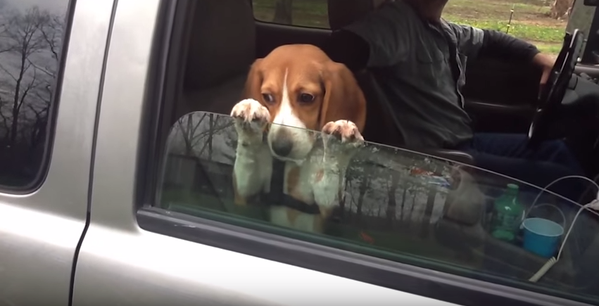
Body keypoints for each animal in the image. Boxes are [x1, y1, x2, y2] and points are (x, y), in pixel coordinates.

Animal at [232, 44, 368, 233]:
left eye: (306, 97)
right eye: (267, 97)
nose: (280, 147)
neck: (292, 165)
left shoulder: (325, 206)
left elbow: (331, 176)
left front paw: (339, 147)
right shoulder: (245, 195)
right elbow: (247, 163)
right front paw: (249, 122)